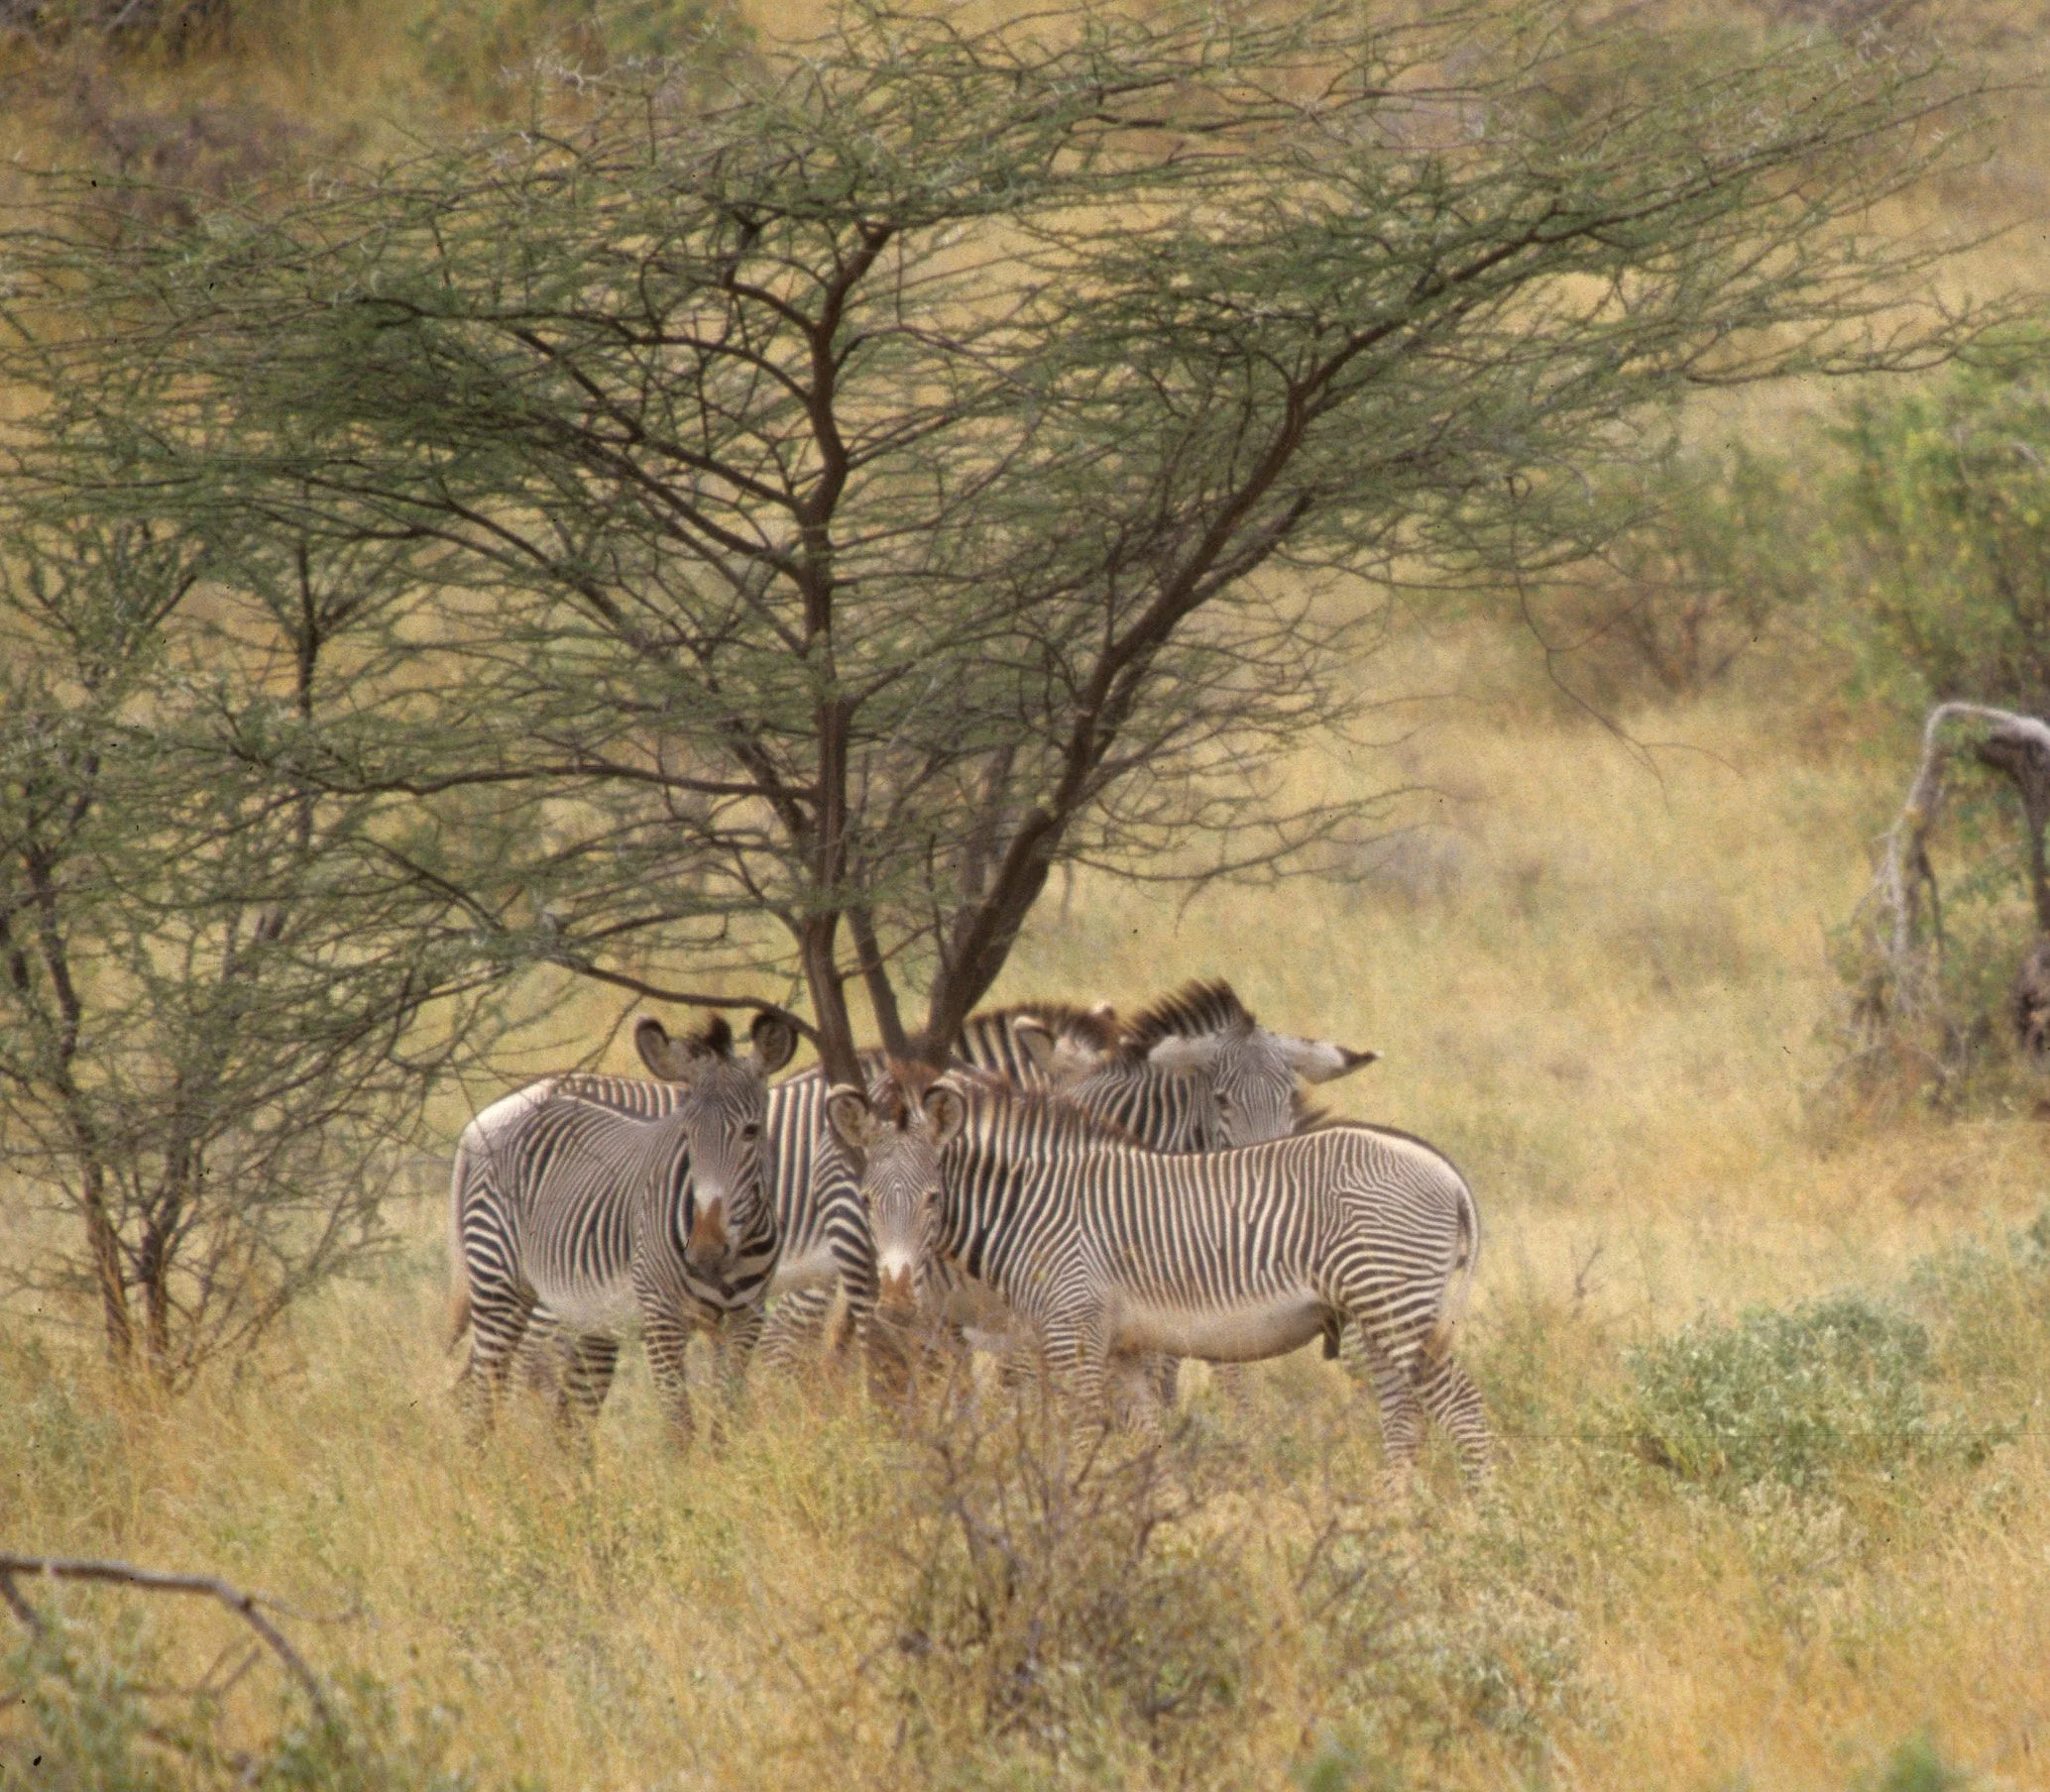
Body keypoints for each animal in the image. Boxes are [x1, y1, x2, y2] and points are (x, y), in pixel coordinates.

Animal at [447, 1011, 797, 1446]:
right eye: (686, 1135)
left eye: (751, 1131)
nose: (705, 1252)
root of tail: (482, 1122)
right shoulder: (663, 1318)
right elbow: (680, 1427)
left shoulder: (746, 1319)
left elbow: (724, 1424)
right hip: (499, 1284)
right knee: (483, 1395)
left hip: (589, 1317)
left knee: (570, 1421)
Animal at [831, 1065, 1491, 1482]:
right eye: (865, 1199)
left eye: (933, 1200)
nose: (895, 1300)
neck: (1034, 1210)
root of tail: (1444, 1169)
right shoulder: (1123, 1346)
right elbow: (1147, 1444)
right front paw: (1159, 1537)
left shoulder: (1073, 1332)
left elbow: (1081, 1435)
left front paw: (1072, 1530)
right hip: (1376, 1316)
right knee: (1404, 1421)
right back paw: (1394, 1527)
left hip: (1396, 1308)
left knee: (1464, 1413)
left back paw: (1474, 1530)